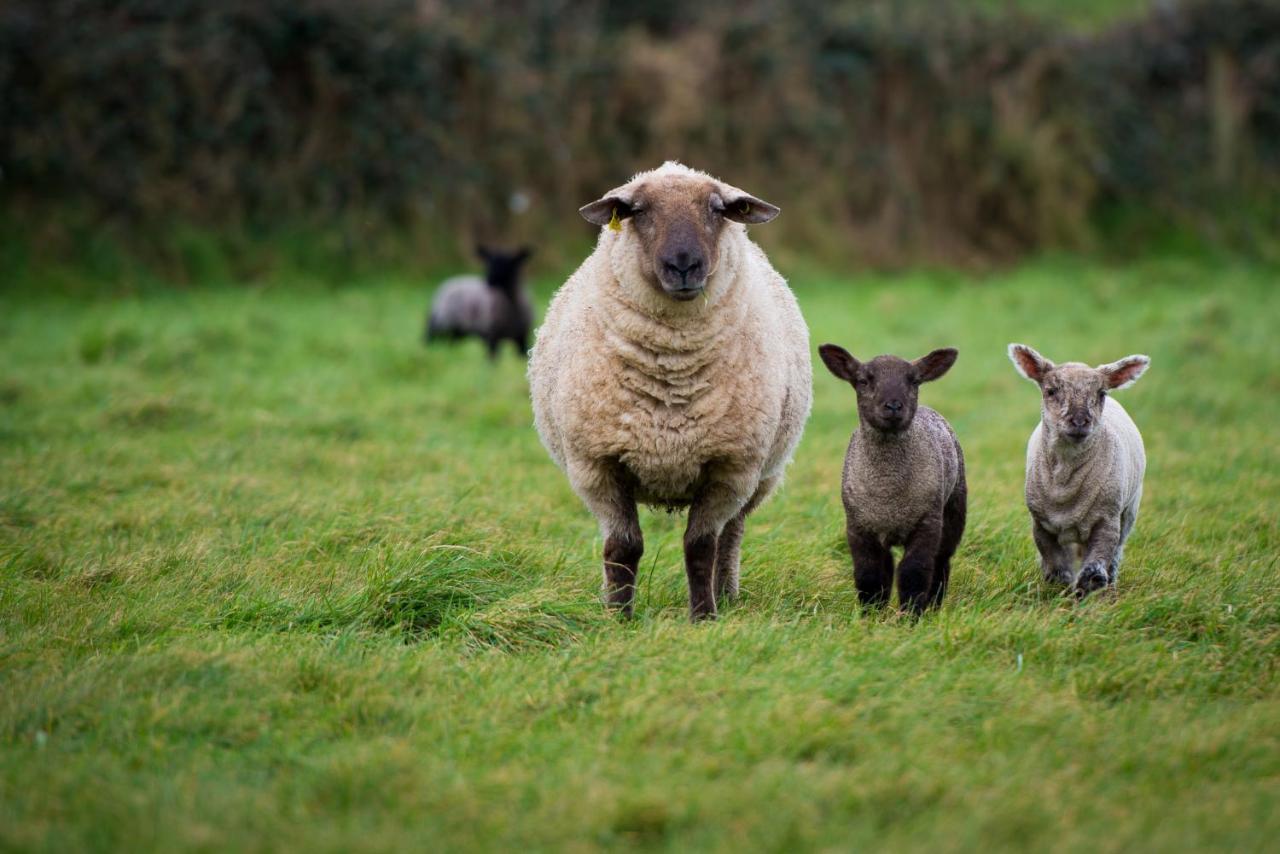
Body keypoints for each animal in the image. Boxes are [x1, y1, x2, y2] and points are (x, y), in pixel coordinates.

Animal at [527, 160, 808, 622]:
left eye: (717, 209)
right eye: (638, 211)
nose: (683, 264)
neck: (672, 372)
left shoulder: (730, 468)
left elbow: (701, 547)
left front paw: (704, 617)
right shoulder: (597, 466)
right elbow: (622, 548)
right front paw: (618, 618)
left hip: (761, 477)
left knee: (731, 536)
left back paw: (726, 595)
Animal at [814, 343, 962, 612]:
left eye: (914, 381)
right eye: (863, 381)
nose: (893, 406)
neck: (887, 490)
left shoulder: (927, 523)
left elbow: (914, 571)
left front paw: (913, 613)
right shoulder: (859, 526)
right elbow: (869, 574)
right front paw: (870, 614)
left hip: (954, 506)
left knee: (942, 561)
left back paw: (934, 606)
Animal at [1008, 343, 1152, 599]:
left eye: (1101, 393)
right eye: (1051, 391)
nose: (1079, 421)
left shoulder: (1107, 520)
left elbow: (1098, 559)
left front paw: (1090, 583)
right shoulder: (1041, 525)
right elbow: (1055, 562)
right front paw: (1059, 586)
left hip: (1129, 510)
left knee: (1116, 553)